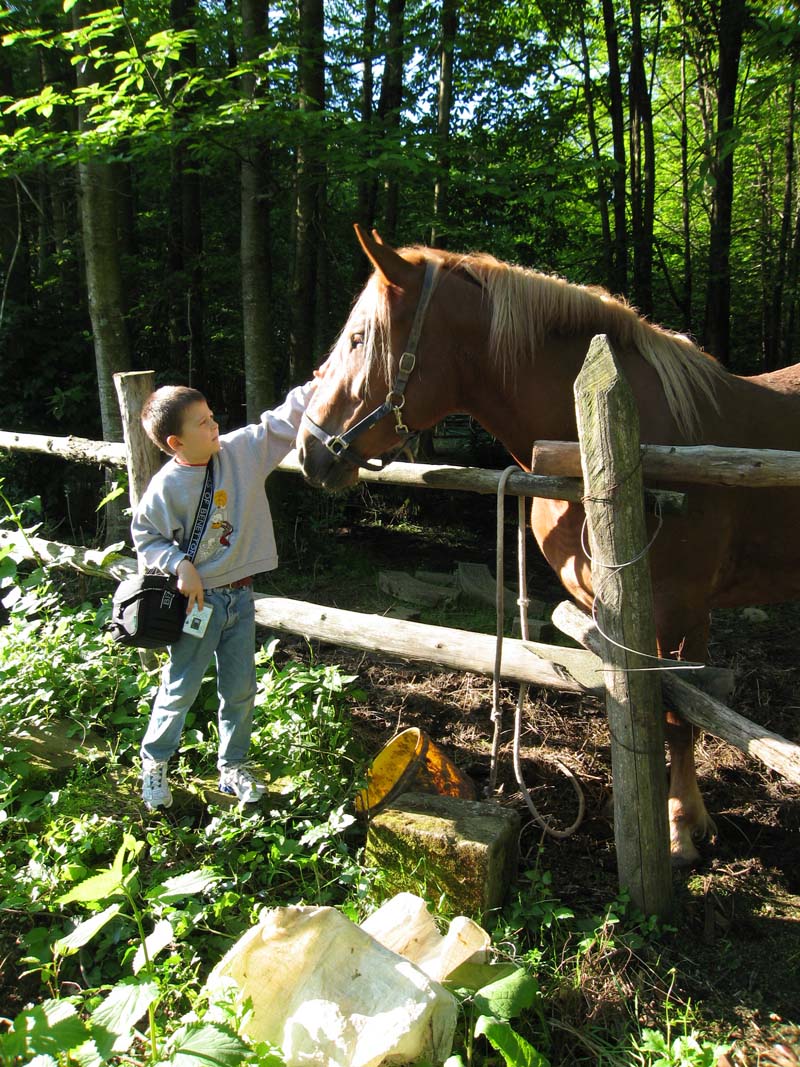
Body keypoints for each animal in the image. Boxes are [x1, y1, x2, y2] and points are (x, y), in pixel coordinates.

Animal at [298, 225, 800, 866]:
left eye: (360, 339)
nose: (310, 448)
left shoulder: (684, 611)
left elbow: (676, 717)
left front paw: (682, 827)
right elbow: (628, 706)